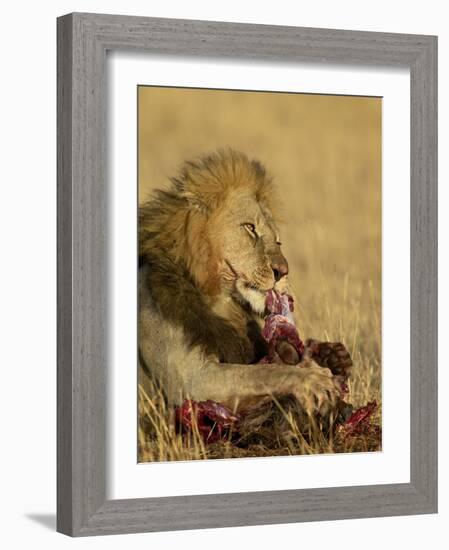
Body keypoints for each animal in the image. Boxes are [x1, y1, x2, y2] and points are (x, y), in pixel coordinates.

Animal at [138, 151, 352, 422]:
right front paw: (314, 378)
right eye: (250, 228)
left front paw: (330, 356)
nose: (283, 271)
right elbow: (262, 373)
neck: (220, 301)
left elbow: (263, 367)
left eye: (278, 240)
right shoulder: (192, 381)